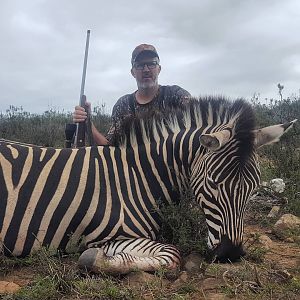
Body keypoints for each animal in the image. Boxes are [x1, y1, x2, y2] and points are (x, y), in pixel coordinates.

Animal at [0, 96, 296, 274]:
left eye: (254, 188)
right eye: (213, 182)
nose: (230, 254)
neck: (138, 176)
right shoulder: (110, 237)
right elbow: (172, 254)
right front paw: (94, 259)